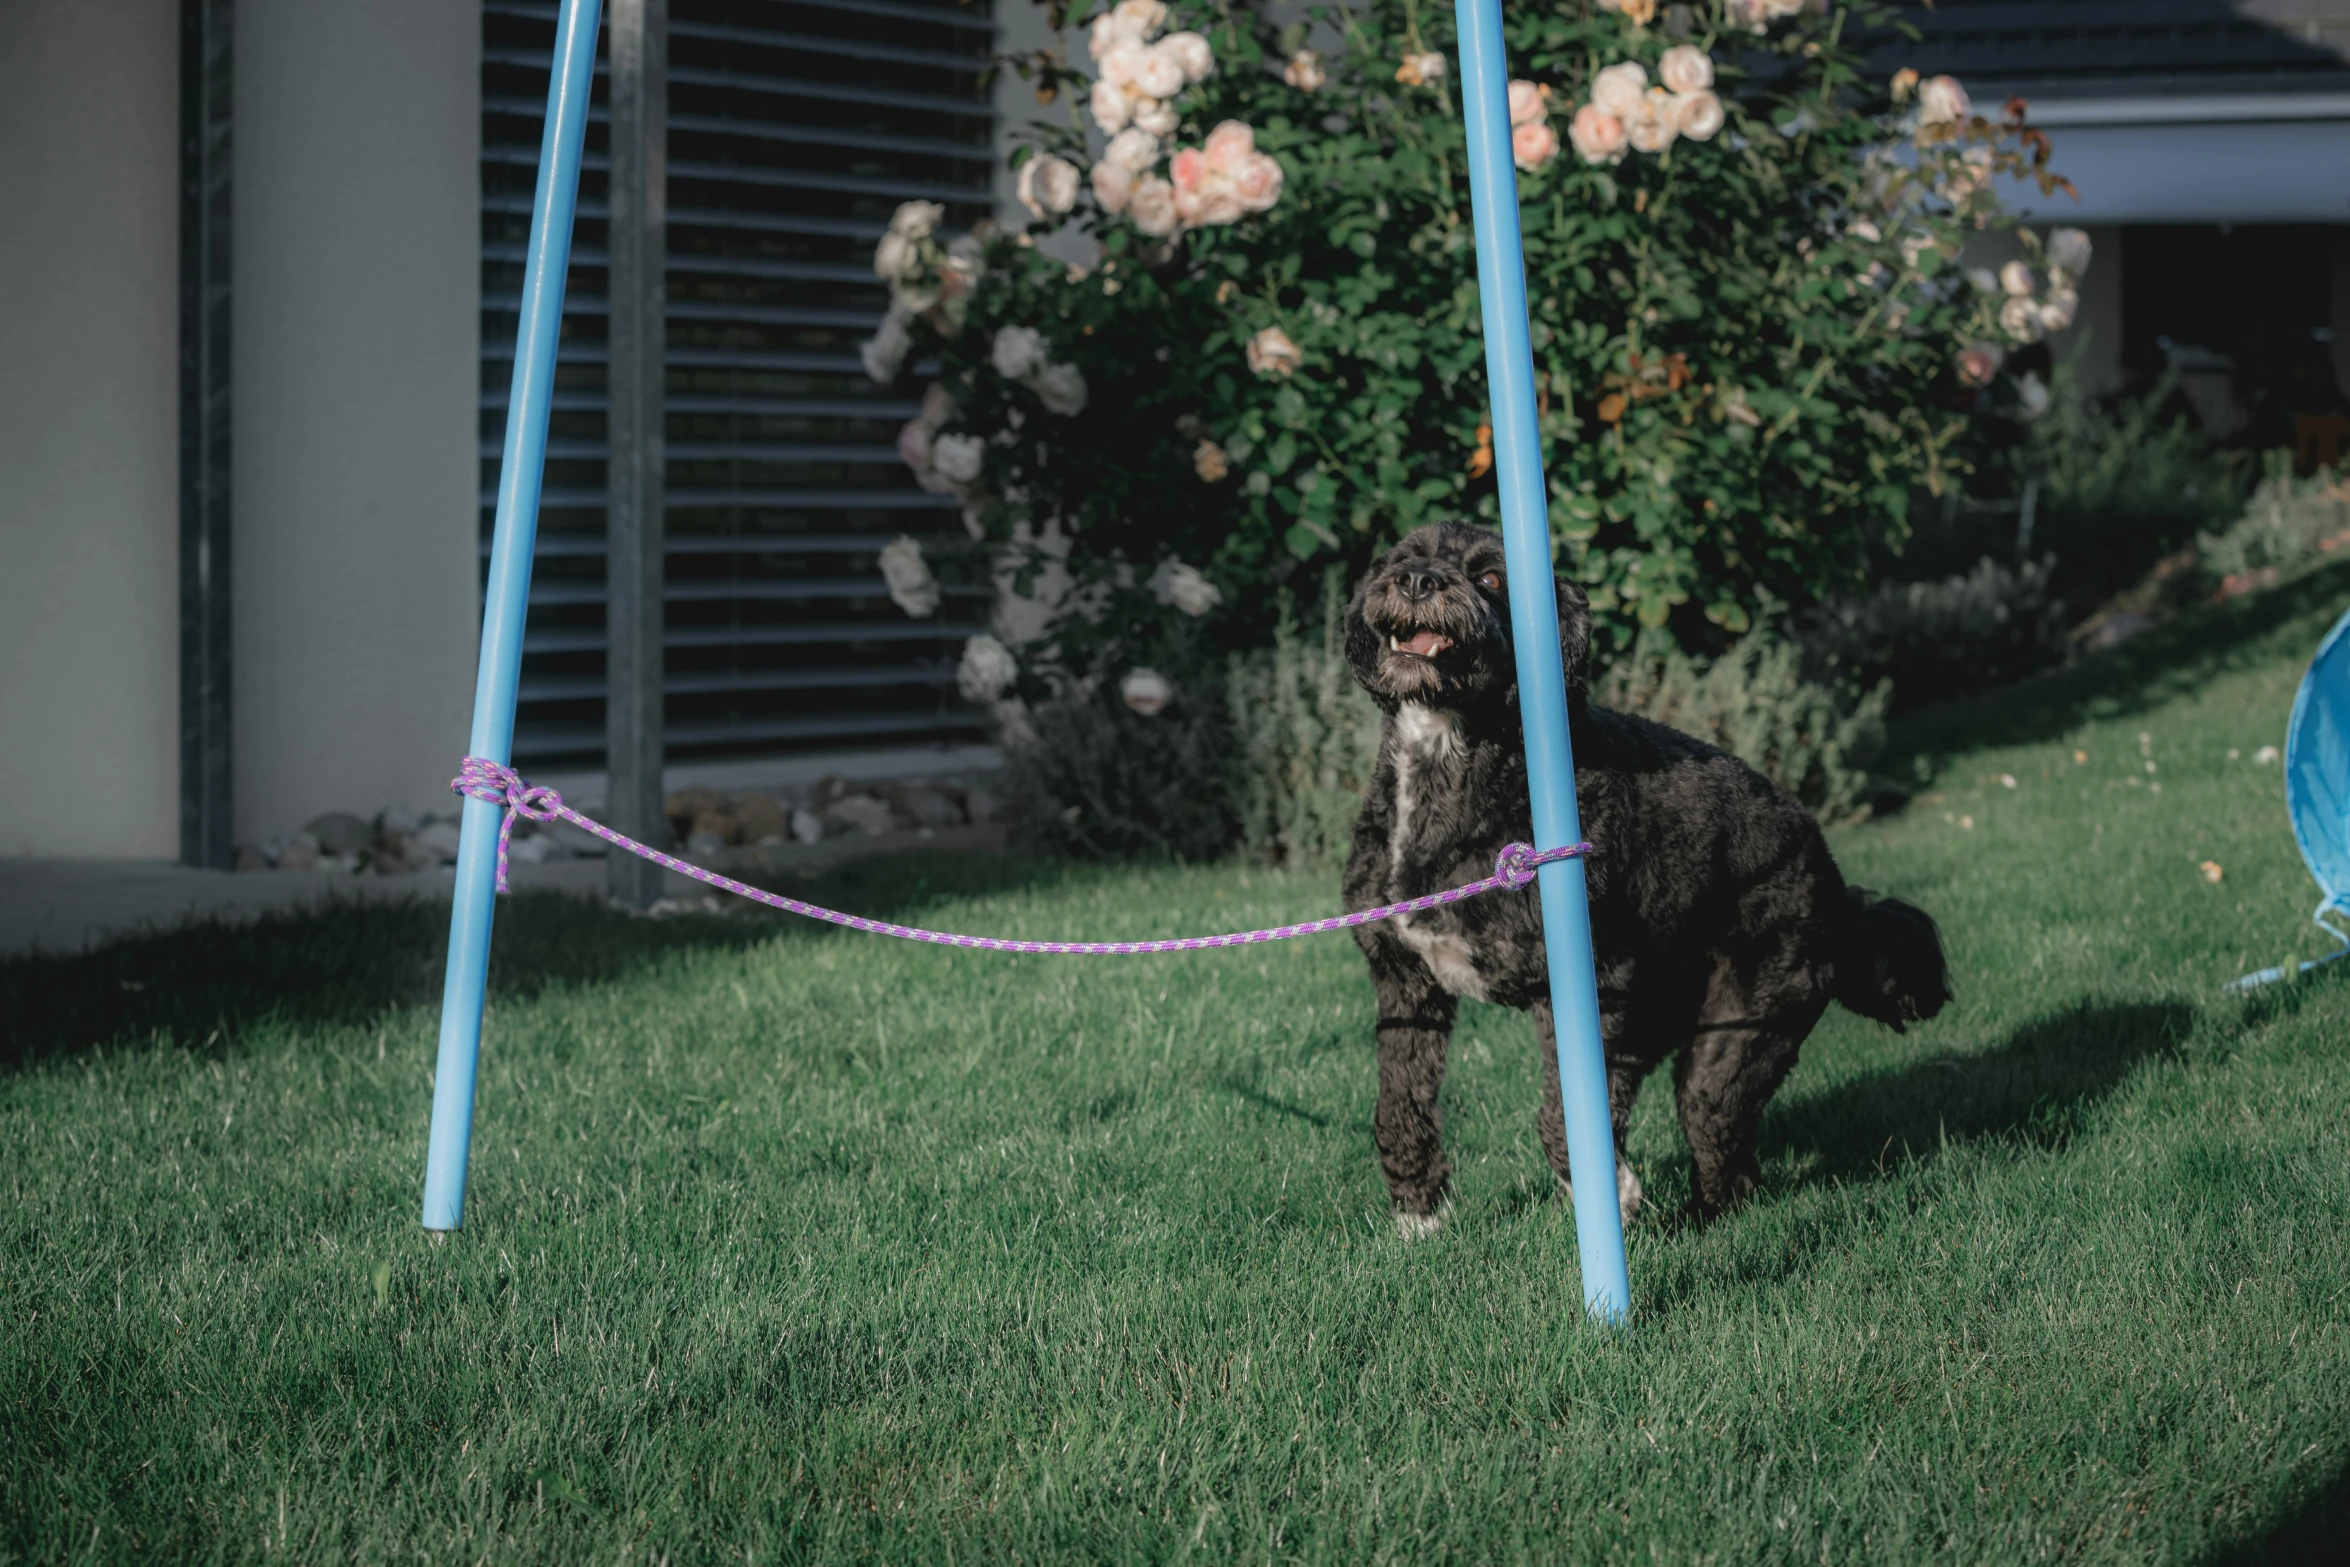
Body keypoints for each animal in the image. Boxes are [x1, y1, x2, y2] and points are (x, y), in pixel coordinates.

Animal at [1344, 521, 1945, 1231]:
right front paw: (1420, 1218)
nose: (1417, 581)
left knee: (1714, 1120)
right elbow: (1399, 1103)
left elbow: (1566, 1111)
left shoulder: (1597, 987)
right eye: (1403, 558)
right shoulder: (1404, 983)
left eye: (1492, 576)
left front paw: (1614, 1192)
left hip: (1748, 1017)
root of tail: (1837, 886)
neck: (1452, 767)